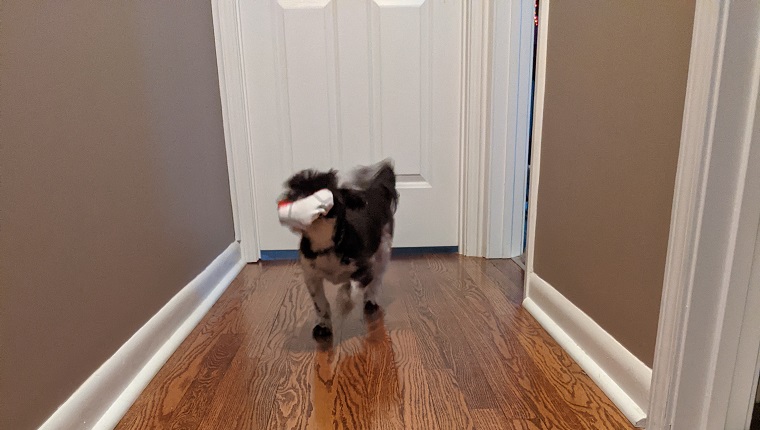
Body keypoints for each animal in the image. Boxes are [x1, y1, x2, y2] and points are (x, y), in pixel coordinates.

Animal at [280, 159, 398, 340]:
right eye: (293, 190)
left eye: (323, 190)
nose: (294, 200)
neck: (324, 244)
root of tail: (375, 191)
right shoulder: (311, 276)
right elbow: (320, 303)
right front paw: (323, 326)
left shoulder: (365, 269)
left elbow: (352, 290)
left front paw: (343, 301)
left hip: (383, 249)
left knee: (377, 279)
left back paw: (370, 300)